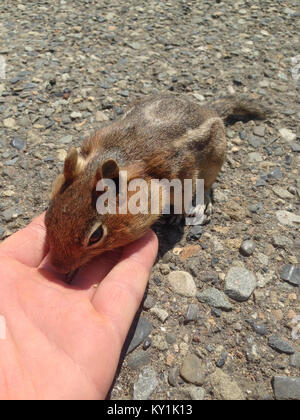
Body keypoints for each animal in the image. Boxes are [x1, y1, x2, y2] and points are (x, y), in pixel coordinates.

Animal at [44, 93, 270, 274]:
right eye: (48, 217)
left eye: (96, 235)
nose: (57, 268)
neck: (118, 154)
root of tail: (209, 109)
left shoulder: (182, 172)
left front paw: (177, 214)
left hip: (216, 158)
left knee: (206, 186)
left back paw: (201, 204)